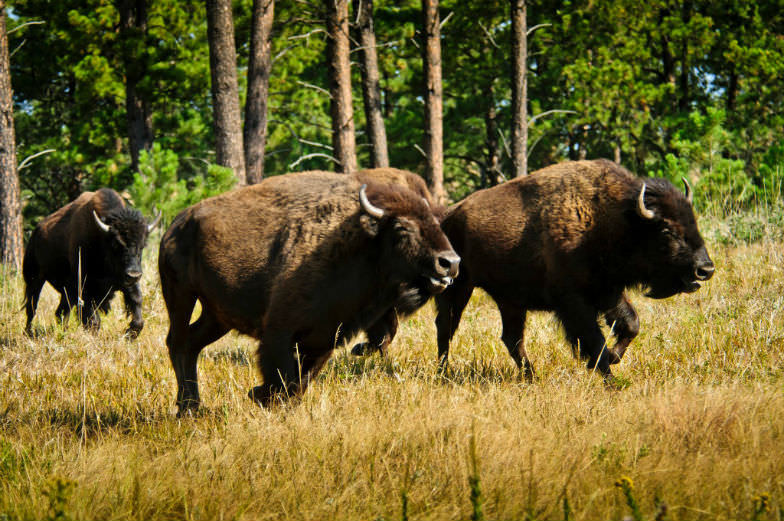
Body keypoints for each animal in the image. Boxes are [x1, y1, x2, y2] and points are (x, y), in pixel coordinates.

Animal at [23, 187, 161, 338]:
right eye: (116, 244)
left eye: (142, 245)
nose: (134, 274)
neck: (101, 238)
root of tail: (35, 233)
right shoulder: (85, 286)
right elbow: (93, 320)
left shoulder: (126, 284)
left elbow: (137, 310)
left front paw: (129, 335)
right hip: (35, 279)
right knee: (32, 307)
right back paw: (28, 332)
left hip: (65, 291)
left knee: (61, 312)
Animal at [159, 172, 460, 414]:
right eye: (401, 227)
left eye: (437, 222)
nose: (450, 262)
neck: (360, 245)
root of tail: (176, 224)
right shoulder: (279, 332)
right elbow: (282, 374)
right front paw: (262, 397)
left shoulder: (325, 338)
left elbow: (301, 380)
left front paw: (269, 400)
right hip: (180, 296)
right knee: (177, 342)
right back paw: (186, 408)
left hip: (216, 316)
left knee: (192, 344)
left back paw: (194, 406)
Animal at [434, 158, 716, 378]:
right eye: (667, 230)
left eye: (693, 221)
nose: (706, 269)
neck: (609, 219)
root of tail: (448, 216)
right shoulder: (575, 302)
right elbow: (594, 340)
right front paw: (610, 378)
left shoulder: (608, 291)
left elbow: (630, 324)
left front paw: (613, 357)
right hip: (459, 287)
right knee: (446, 327)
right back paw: (443, 373)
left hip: (510, 300)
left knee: (511, 338)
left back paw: (531, 376)